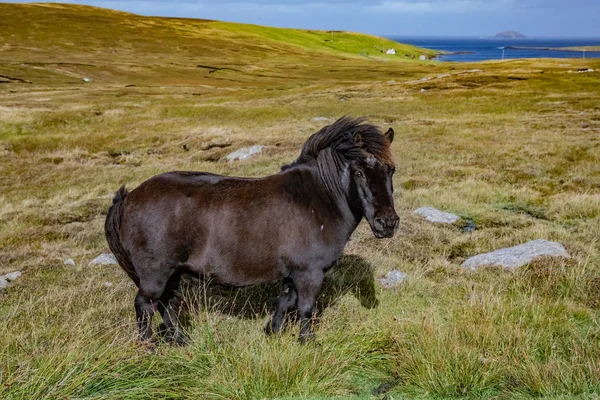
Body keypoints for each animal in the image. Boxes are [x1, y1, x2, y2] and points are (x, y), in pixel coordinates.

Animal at [105, 116, 398, 344]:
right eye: (359, 172)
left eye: (392, 170)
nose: (387, 223)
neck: (318, 198)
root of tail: (128, 198)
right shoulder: (309, 273)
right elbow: (306, 308)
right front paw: (307, 341)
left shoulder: (292, 273)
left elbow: (285, 302)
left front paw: (273, 331)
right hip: (155, 274)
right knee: (145, 305)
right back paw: (149, 347)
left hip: (172, 273)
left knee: (165, 304)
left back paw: (180, 340)